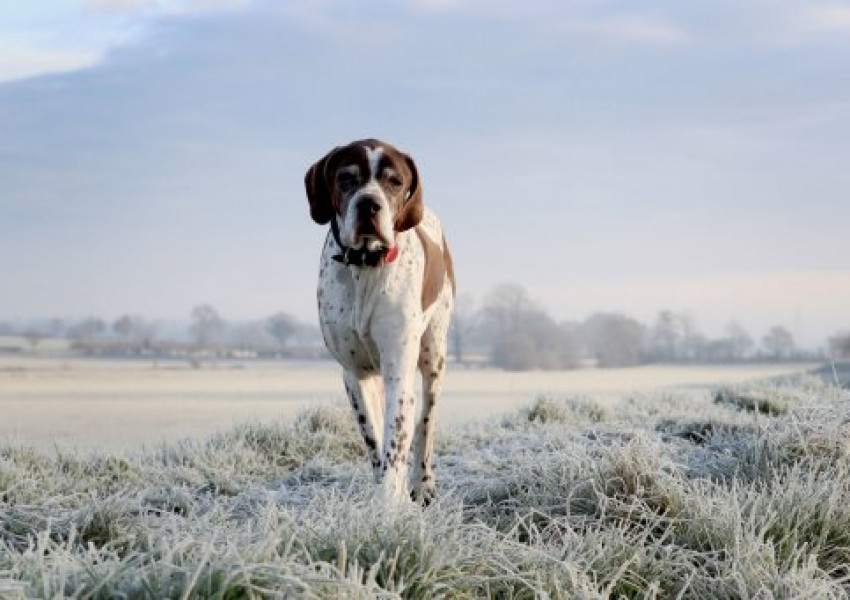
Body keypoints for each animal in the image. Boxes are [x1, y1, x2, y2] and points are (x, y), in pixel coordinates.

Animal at [304, 138, 454, 504]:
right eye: (346, 178)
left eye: (394, 181)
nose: (369, 205)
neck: (365, 267)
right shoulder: (355, 375)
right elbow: (374, 441)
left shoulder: (399, 371)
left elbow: (397, 443)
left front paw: (390, 503)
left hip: (433, 358)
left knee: (425, 424)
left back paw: (422, 483)